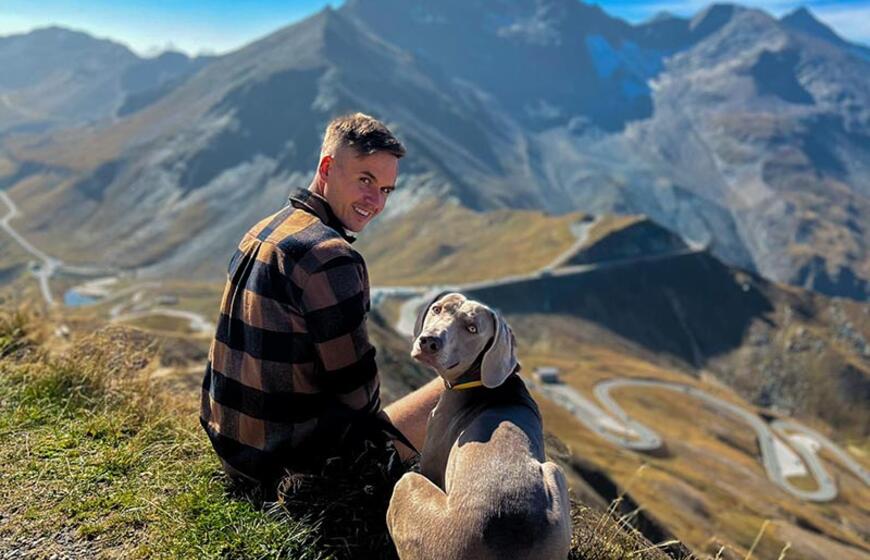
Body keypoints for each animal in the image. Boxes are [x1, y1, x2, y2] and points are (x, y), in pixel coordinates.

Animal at [387, 292, 572, 560]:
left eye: (472, 328)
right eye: (437, 309)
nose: (429, 341)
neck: (480, 382)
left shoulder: (431, 459)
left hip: (408, 486)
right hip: (555, 478)